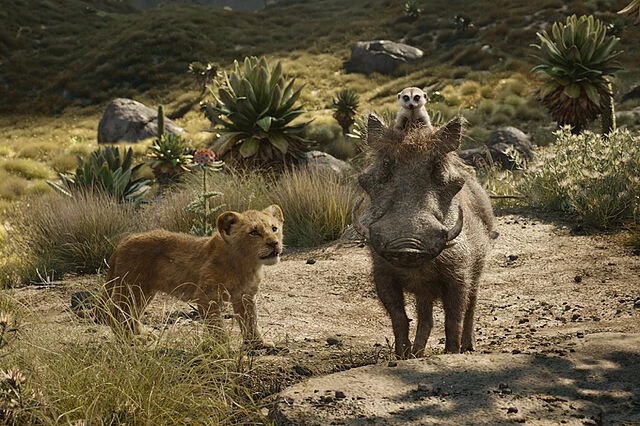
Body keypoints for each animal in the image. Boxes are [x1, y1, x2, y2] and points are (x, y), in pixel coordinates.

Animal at [97, 204, 284, 348]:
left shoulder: (245, 296)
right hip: (132, 288)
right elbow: (216, 325)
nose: (274, 243)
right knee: (117, 313)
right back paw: (132, 339)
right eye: (254, 232)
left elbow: (250, 321)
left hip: (144, 291)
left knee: (131, 314)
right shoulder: (207, 296)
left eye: (274, 228)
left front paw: (258, 344)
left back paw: (142, 334)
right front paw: (223, 348)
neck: (247, 264)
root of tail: (123, 241)